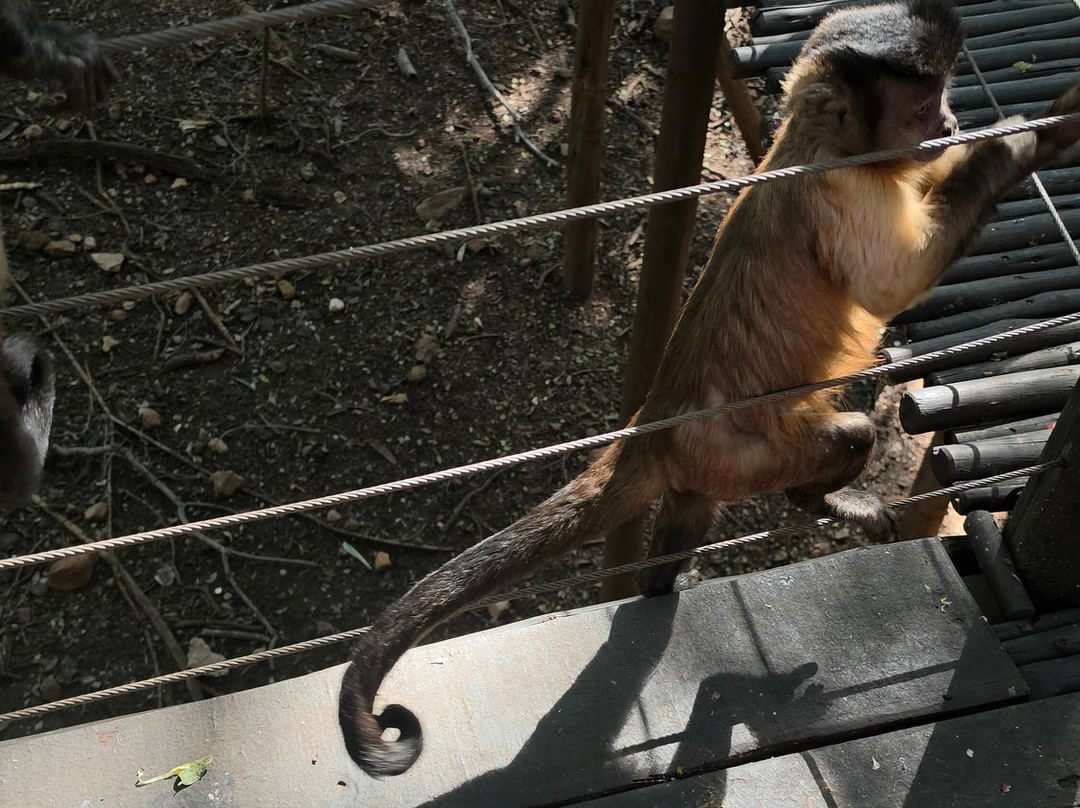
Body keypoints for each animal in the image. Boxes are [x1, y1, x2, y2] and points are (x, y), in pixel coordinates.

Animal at [339, 0, 1080, 776]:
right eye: (919, 108)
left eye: (942, 99)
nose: (950, 124)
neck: (812, 144)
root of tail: (653, 423)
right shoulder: (841, 188)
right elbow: (890, 287)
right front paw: (1022, 143)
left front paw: (1044, 135)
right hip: (734, 451)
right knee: (849, 432)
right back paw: (814, 501)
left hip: (700, 472)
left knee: (691, 521)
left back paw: (665, 582)